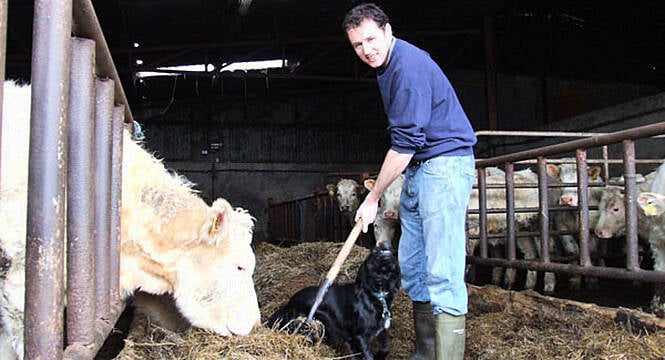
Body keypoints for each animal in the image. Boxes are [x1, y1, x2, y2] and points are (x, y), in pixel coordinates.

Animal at [266, 240, 400, 358]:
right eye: (373, 251)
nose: (383, 243)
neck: (377, 295)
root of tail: (289, 302)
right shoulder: (360, 336)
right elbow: (367, 355)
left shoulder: (381, 330)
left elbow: (385, 349)